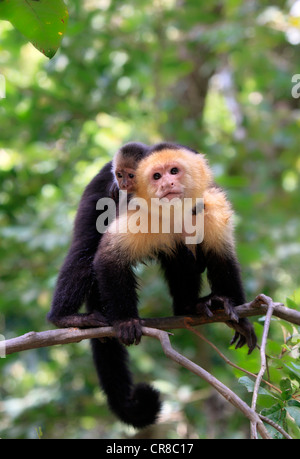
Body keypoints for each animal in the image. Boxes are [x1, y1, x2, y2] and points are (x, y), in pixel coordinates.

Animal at [91, 143, 255, 428]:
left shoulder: (212, 204)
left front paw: (237, 317)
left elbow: (222, 257)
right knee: (178, 253)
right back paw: (187, 307)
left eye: (174, 171)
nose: (167, 183)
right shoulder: (141, 214)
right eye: (156, 176)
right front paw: (125, 321)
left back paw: (207, 304)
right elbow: (109, 259)